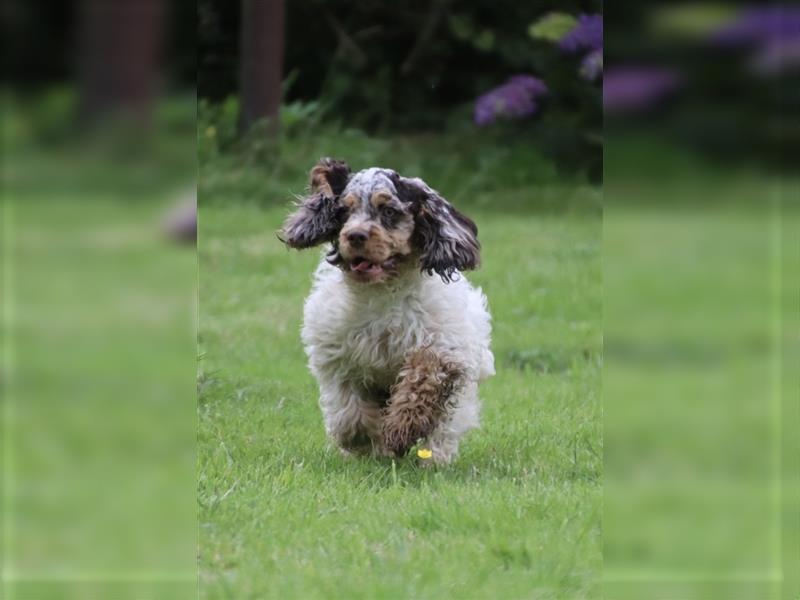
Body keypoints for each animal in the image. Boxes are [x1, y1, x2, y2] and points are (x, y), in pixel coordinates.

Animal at [282, 158, 494, 464]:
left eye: (389, 211)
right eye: (344, 210)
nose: (355, 235)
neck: (382, 291)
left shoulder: (446, 348)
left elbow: (423, 377)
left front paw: (402, 429)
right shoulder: (337, 358)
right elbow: (350, 414)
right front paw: (369, 439)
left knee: (444, 432)